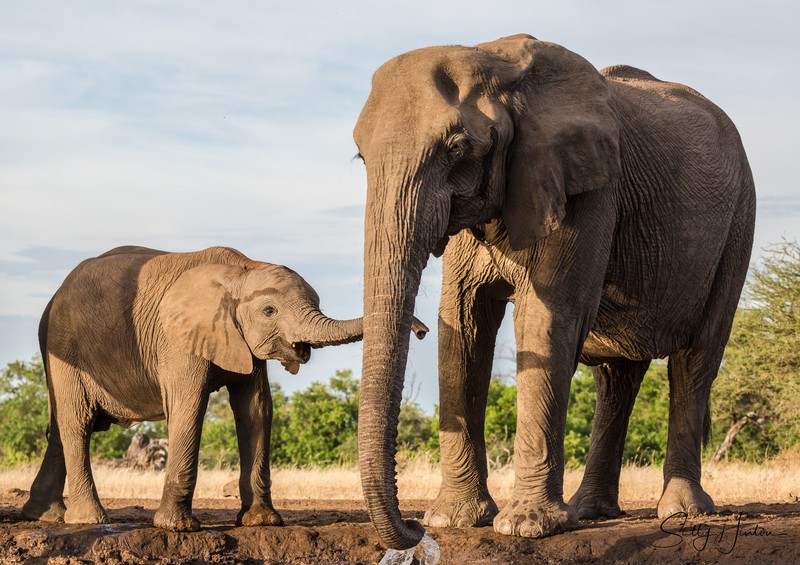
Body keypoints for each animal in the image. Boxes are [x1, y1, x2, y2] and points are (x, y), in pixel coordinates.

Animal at [20, 245, 428, 531]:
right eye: (269, 311)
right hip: (65, 348)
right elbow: (189, 406)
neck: (244, 268)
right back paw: (89, 520)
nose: (423, 331)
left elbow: (256, 409)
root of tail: (53, 297)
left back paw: (45, 517)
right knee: (77, 422)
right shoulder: (179, 339)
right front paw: (178, 528)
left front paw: (262, 522)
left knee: (61, 428)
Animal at [353, 34, 755, 548]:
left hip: (738, 224)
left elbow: (545, 319)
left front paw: (525, 527)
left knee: (695, 360)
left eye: (459, 148)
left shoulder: (588, 189)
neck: (495, 61)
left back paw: (683, 511)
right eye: (362, 158)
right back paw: (592, 511)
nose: (413, 527)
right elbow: (464, 323)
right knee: (617, 377)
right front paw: (454, 520)